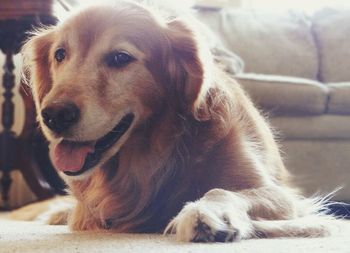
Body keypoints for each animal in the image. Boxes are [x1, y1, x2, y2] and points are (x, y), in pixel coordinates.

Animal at [19, 0, 336, 241]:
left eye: (120, 58)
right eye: (60, 54)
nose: (54, 115)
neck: (156, 152)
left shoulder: (280, 195)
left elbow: (220, 189)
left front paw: (207, 213)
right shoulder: (91, 213)